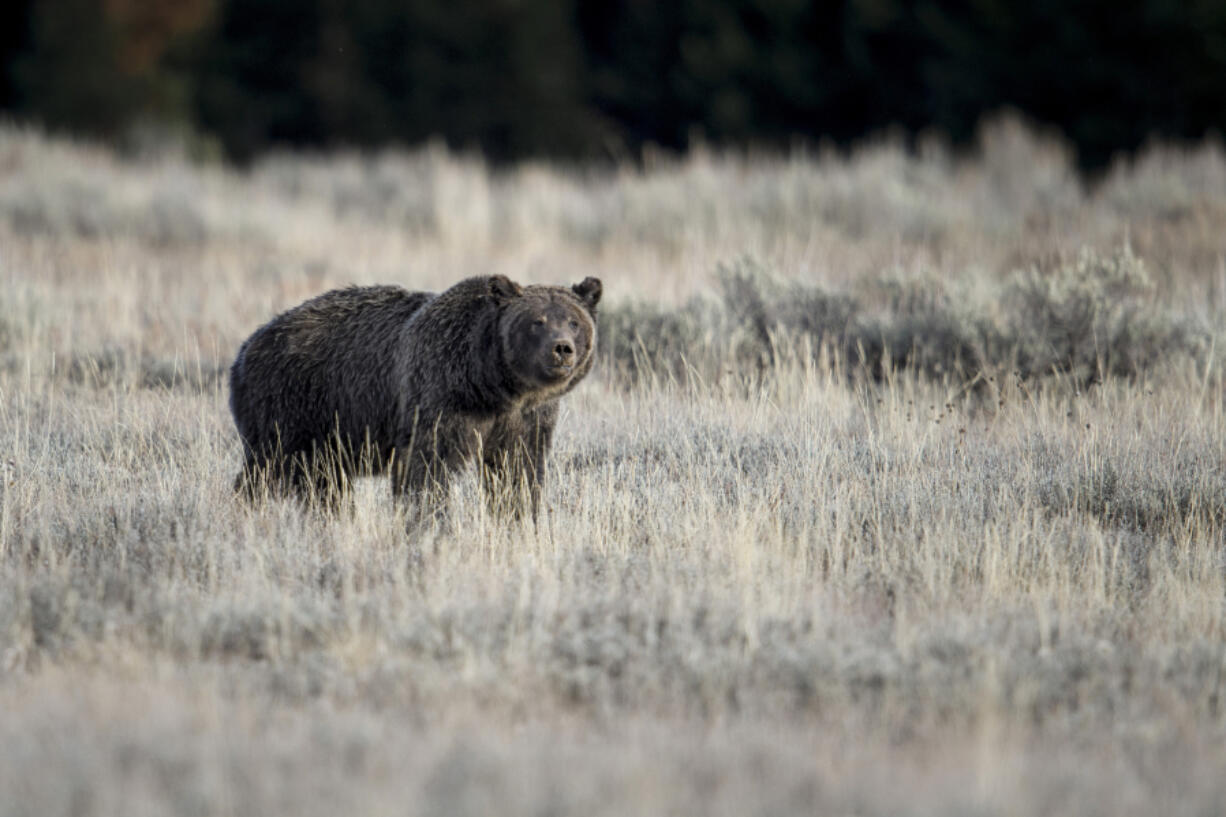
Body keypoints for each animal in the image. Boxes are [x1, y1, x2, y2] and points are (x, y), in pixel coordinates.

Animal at [230, 272, 603, 515]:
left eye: (573, 321)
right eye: (537, 321)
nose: (562, 349)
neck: (493, 385)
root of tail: (245, 348)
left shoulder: (525, 418)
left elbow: (517, 471)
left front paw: (518, 516)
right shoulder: (440, 396)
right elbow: (427, 469)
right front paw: (429, 522)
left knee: (325, 485)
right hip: (292, 406)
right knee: (269, 471)